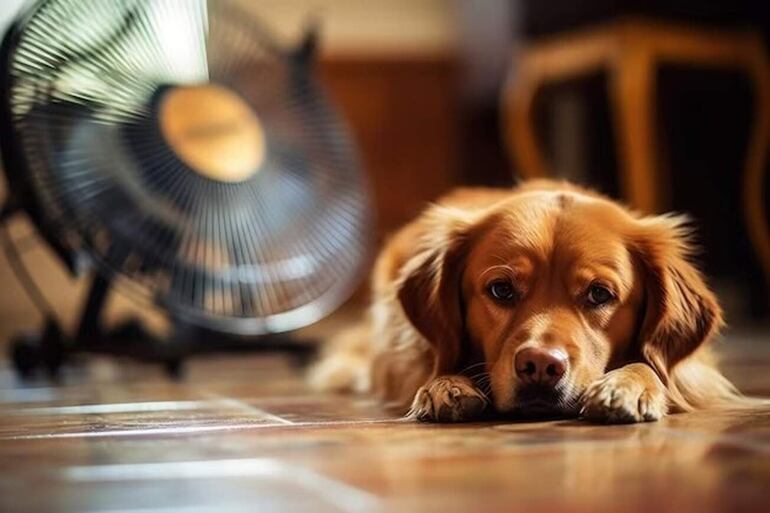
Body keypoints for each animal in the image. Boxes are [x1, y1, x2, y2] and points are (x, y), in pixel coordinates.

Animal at [308, 180, 740, 424]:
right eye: (501, 289)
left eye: (599, 294)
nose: (541, 365)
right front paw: (446, 386)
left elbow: (656, 368)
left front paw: (627, 385)